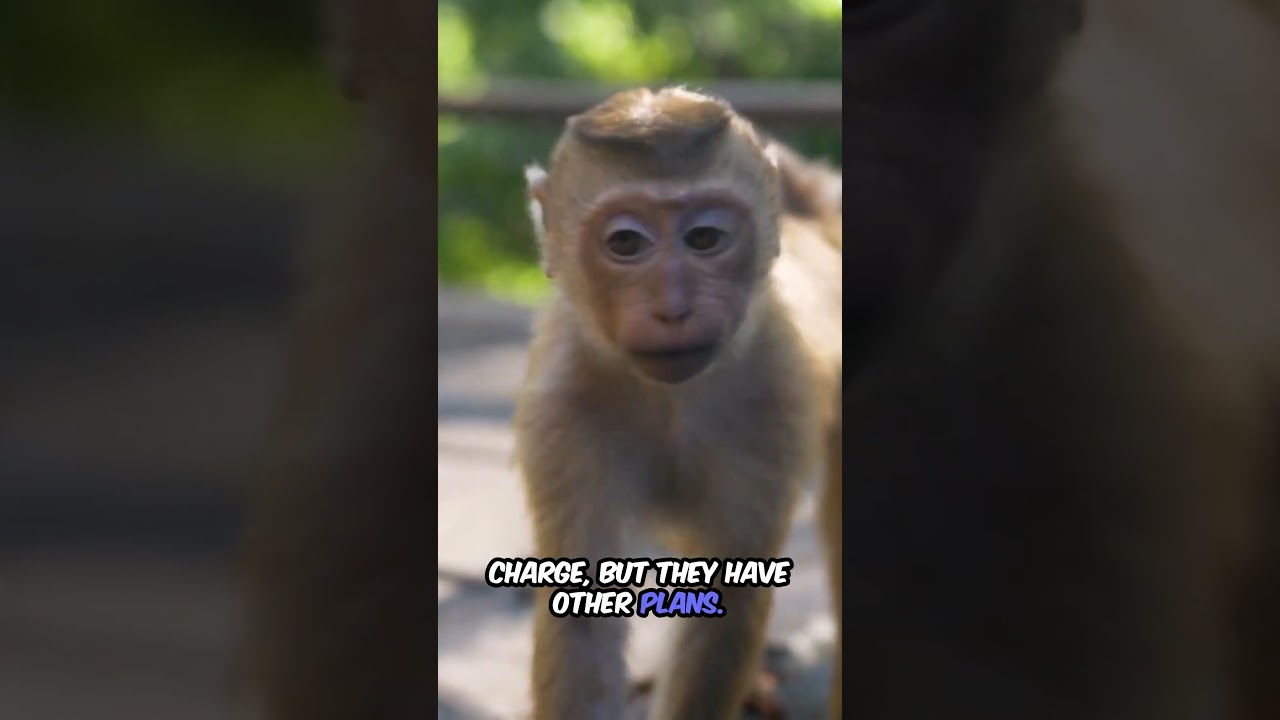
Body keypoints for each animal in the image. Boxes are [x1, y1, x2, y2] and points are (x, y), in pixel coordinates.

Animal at [516, 87, 843, 719]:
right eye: (625, 243)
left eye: (706, 238)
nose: (673, 305)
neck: (672, 398)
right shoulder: (560, 410)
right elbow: (580, 625)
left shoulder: (776, 397)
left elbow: (728, 607)